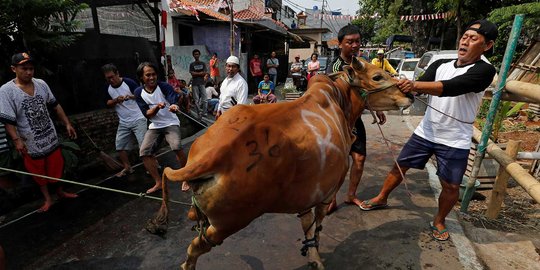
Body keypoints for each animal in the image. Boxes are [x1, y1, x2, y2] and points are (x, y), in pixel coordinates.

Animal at [146, 56, 412, 268]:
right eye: (377, 76)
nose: (408, 95)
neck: (339, 102)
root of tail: (212, 154)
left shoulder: (306, 192)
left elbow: (306, 225)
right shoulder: (326, 193)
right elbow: (316, 227)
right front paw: (316, 259)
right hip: (229, 222)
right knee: (195, 247)